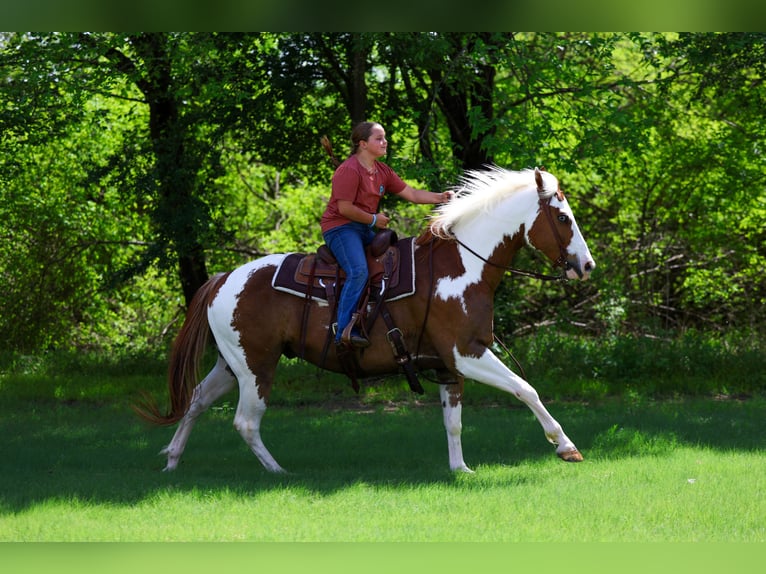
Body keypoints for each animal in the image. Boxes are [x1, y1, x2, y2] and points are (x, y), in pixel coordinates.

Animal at [137, 166, 595, 473]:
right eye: (562, 218)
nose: (586, 265)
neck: (463, 266)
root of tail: (223, 278)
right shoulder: (468, 354)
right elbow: (526, 389)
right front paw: (566, 445)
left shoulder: (449, 367)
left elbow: (454, 422)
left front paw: (459, 469)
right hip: (256, 367)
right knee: (245, 422)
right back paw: (278, 472)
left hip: (230, 364)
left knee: (197, 400)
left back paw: (172, 460)